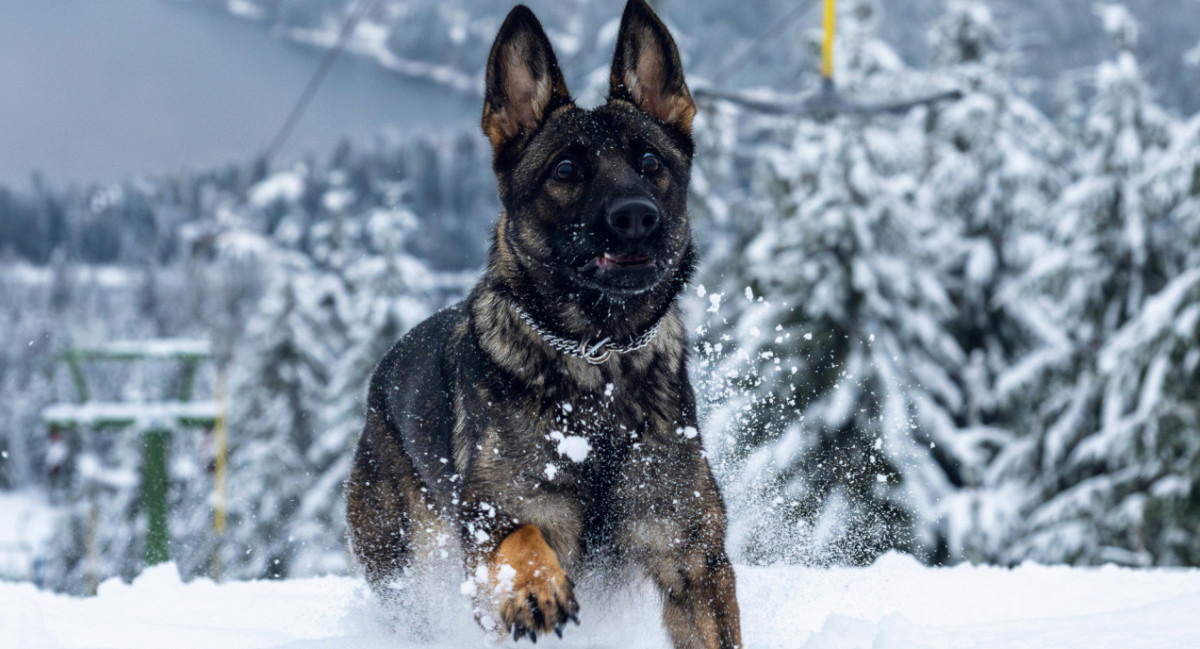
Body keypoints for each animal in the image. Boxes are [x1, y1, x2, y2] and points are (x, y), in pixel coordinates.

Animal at [345, 2, 739, 643]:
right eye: (566, 170)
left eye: (650, 162)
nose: (637, 217)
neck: (599, 359)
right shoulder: (489, 522)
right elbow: (524, 535)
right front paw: (535, 587)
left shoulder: (694, 560)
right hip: (405, 569)